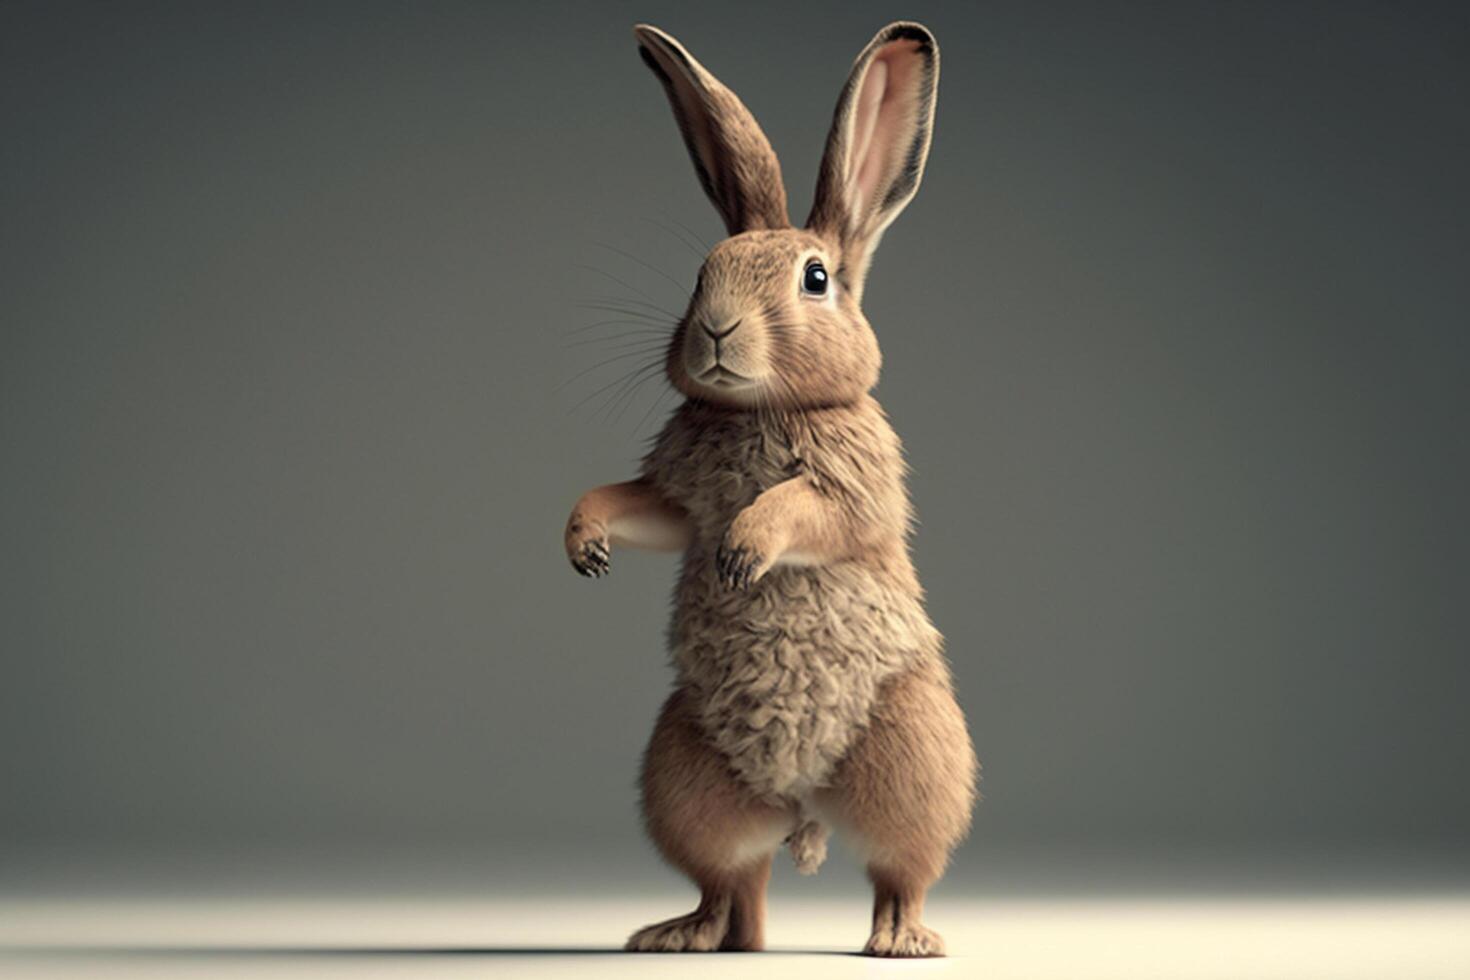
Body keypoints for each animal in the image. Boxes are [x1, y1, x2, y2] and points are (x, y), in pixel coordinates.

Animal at [561, 21, 976, 957]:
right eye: (701, 272)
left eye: (815, 280)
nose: (717, 331)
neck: (760, 409)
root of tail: (801, 808)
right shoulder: (677, 498)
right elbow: (636, 506)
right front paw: (584, 544)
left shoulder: (850, 487)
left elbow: (799, 510)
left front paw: (742, 553)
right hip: (687, 779)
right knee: (730, 885)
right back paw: (683, 935)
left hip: (914, 758)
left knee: (900, 873)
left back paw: (898, 942)